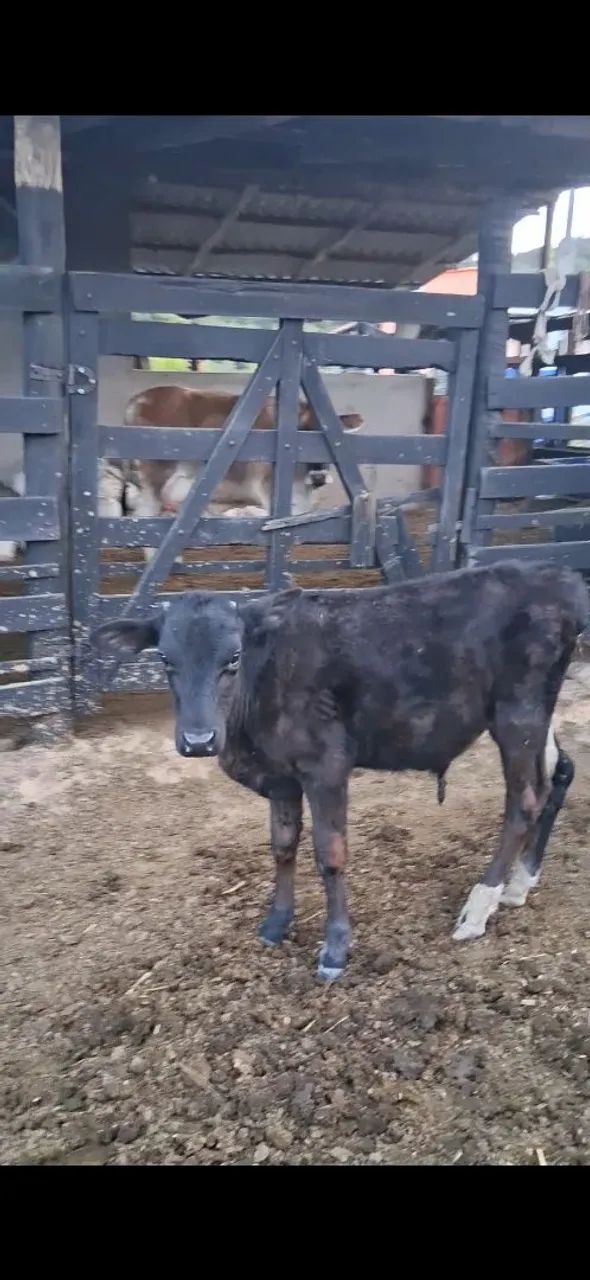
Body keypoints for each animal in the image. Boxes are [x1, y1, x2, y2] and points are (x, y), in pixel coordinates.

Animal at [90, 560, 587, 981]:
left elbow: (330, 854)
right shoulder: (281, 778)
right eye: (165, 660)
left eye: (232, 658)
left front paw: (335, 950)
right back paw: (519, 884)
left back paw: (479, 907)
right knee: (558, 772)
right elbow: (282, 846)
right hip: (536, 717)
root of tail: (556, 575)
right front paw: (276, 923)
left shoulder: (325, 766)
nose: (198, 740)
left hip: (518, 715)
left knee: (524, 801)